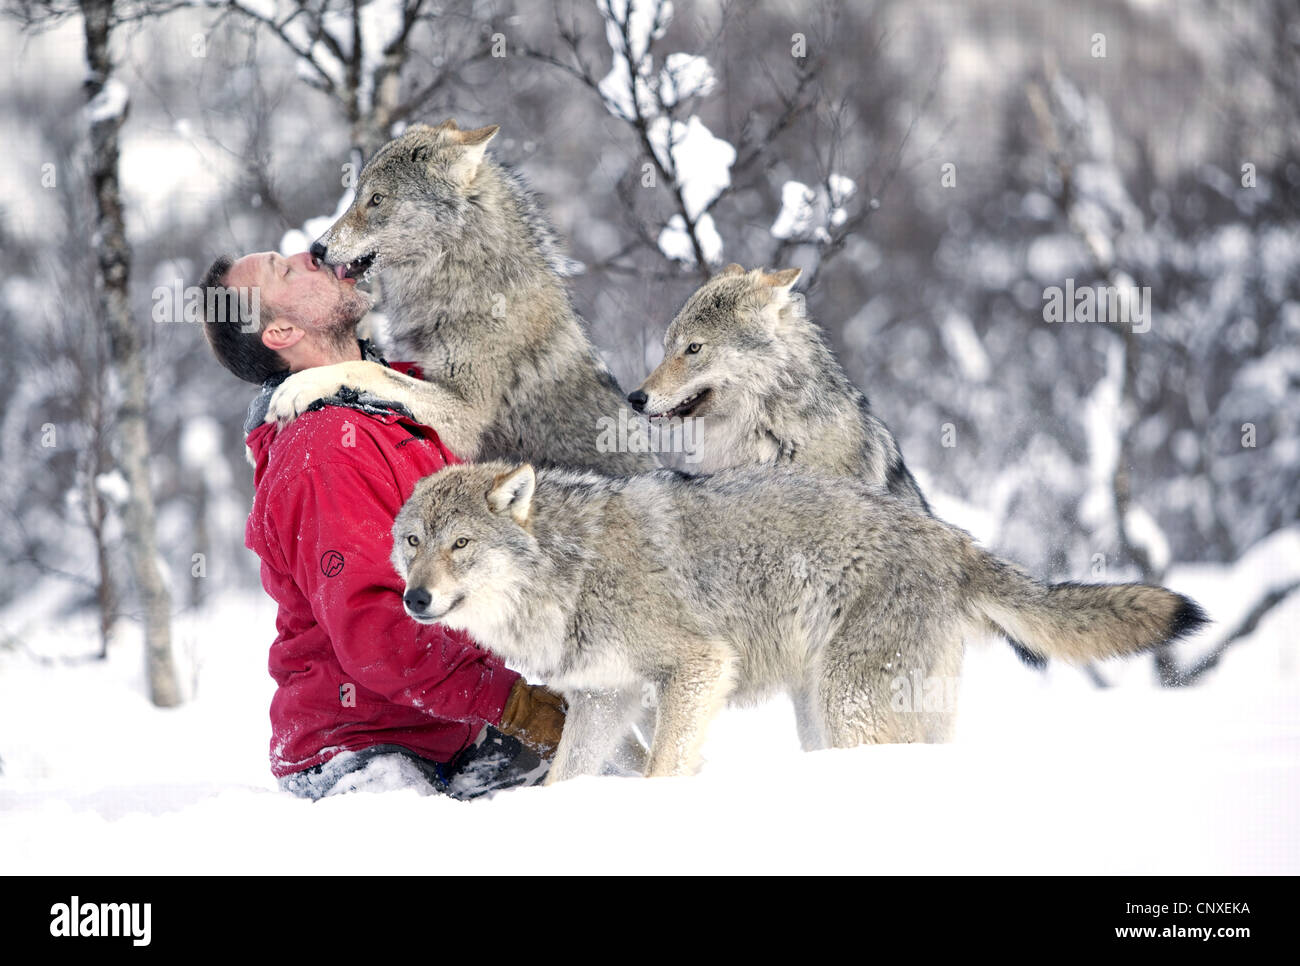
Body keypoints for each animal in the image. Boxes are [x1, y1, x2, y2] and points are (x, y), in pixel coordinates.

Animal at [263, 120, 655, 481]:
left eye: (376, 199)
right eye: (359, 195)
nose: (316, 249)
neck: (468, 275)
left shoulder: (467, 415)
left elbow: (368, 368)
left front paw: (299, 385)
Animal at [384, 460, 1206, 780]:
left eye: (461, 545)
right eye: (414, 542)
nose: (414, 601)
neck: (571, 572)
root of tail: (950, 537)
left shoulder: (698, 667)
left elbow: (660, 769)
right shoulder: (603, 699)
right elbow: (565, 778)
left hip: (849, 706)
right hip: (824, 716)